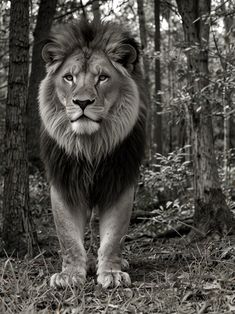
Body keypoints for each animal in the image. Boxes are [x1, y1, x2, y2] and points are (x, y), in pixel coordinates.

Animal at [39, 20, 146, 290]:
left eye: (102, 78)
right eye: (69, 77)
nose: (82, 102)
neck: (90, 146)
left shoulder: (119, 182)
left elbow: (114, 236)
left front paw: (112, 272)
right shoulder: (64, 183)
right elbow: (68, 236)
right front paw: (69, 275)